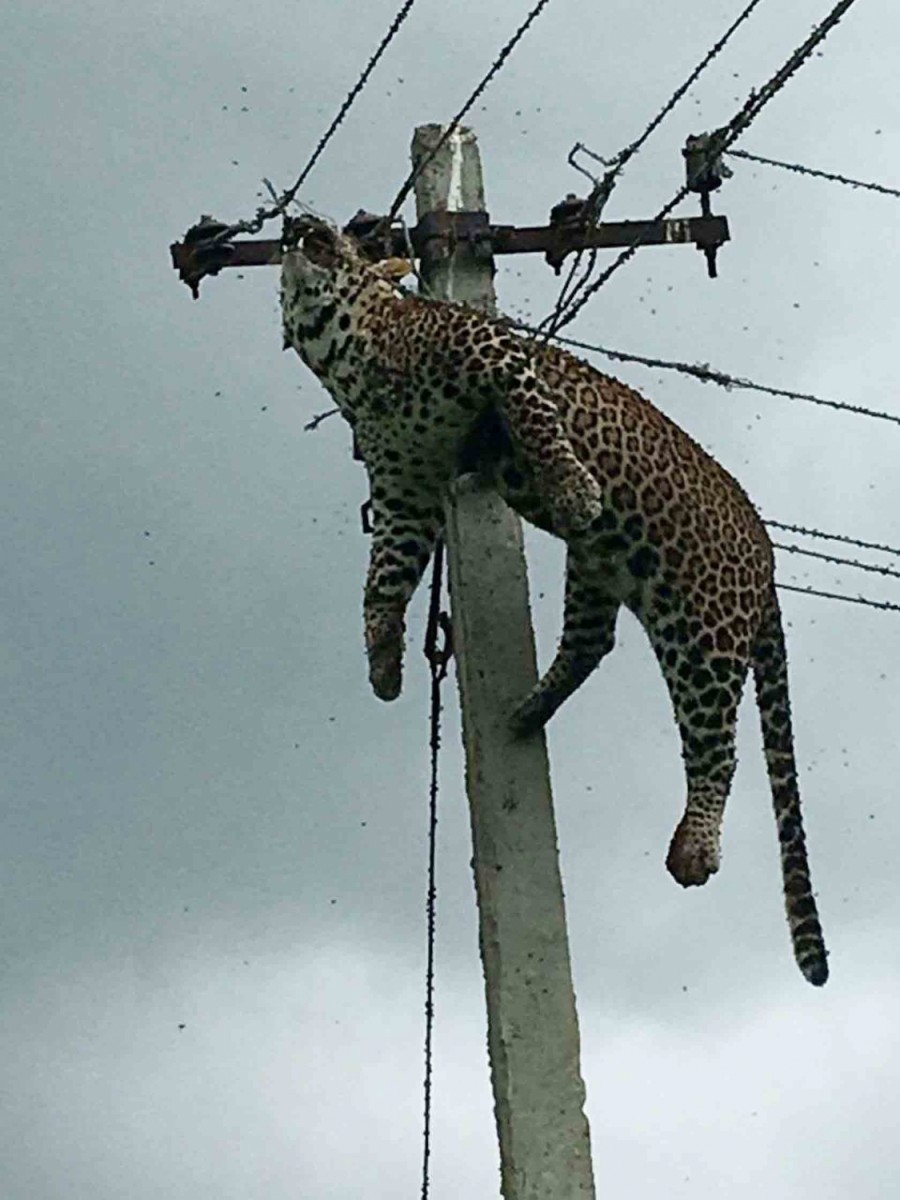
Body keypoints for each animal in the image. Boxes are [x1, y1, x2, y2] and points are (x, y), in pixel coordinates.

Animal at [277, 216, 830, 984]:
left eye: (341, 237)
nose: (302, 224)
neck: (350, 354)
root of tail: (768, 556)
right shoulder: (404, 492)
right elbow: (381, 583)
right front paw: (384, 662)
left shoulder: (495, 354)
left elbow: (539, 419)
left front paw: (574, 488)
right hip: (600, 570)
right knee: (592, 643)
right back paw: (527, 710)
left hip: (701, 629)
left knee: (718, 744)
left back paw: (694, 849)